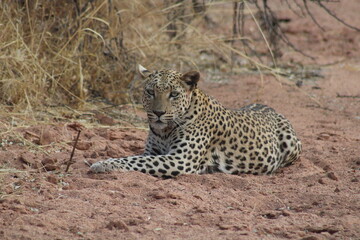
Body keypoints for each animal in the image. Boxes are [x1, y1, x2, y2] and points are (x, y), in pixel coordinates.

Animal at [90, 64, 300, 177]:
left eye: (174, 94)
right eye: (150, 92)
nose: (158, 112)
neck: (164, 131)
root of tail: (269, 107)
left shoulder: (180, 159)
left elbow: (136, 161)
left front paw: (103, 164)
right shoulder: (153, 152)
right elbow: (136, 158)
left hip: (291, 144)